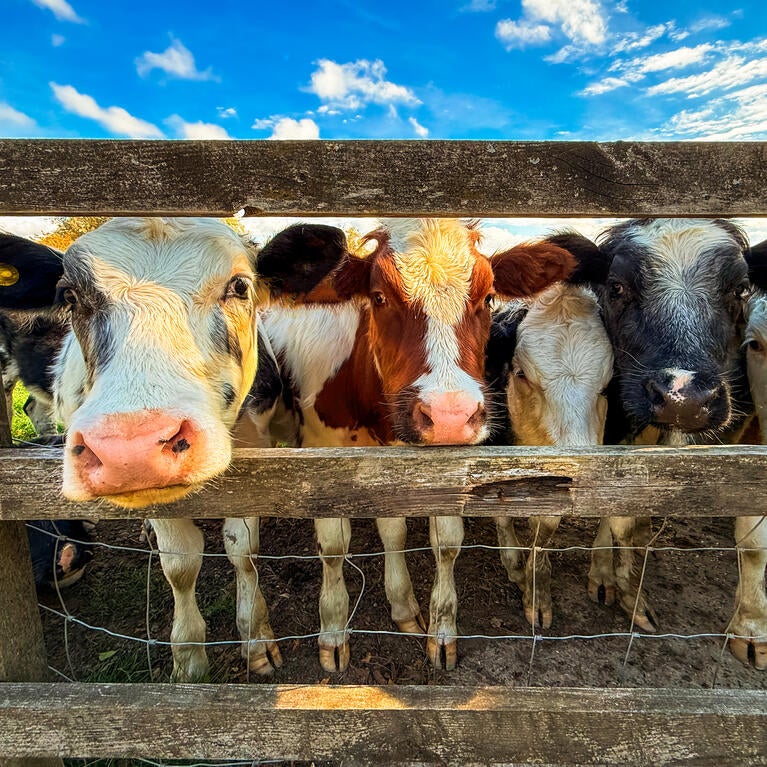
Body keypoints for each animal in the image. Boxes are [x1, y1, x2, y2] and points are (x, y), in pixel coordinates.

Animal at [0, 218, 348, 681]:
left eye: (240, 286)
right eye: (69, 297)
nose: (130, 449)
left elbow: (242, 549)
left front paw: (255, 640)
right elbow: (180, 565)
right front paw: (190, 663)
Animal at [263, 218, 576, 670]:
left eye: (488, 297)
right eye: (379, 297)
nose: (449, 416)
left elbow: (431, 539)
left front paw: (427, 621)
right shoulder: (318, 454)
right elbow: (334, 546)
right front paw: (334, 632)